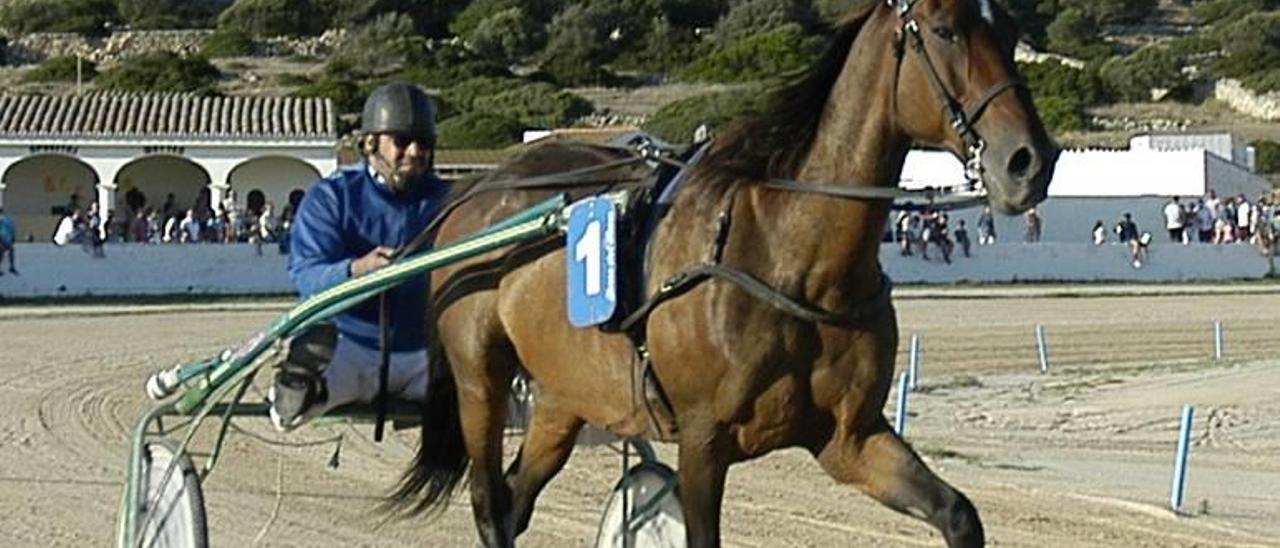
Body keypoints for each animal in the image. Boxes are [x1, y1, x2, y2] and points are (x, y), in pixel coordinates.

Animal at [389, 1, 1059, 548]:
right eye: (946, 30)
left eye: (1011, 29)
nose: (1030, 161)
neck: (792, 259)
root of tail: (482, 186)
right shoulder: (702, 440)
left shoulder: (849, 437)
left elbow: (958, 515)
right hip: (481, 380)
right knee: (489, 503)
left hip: (563, 395)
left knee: (516, 499)